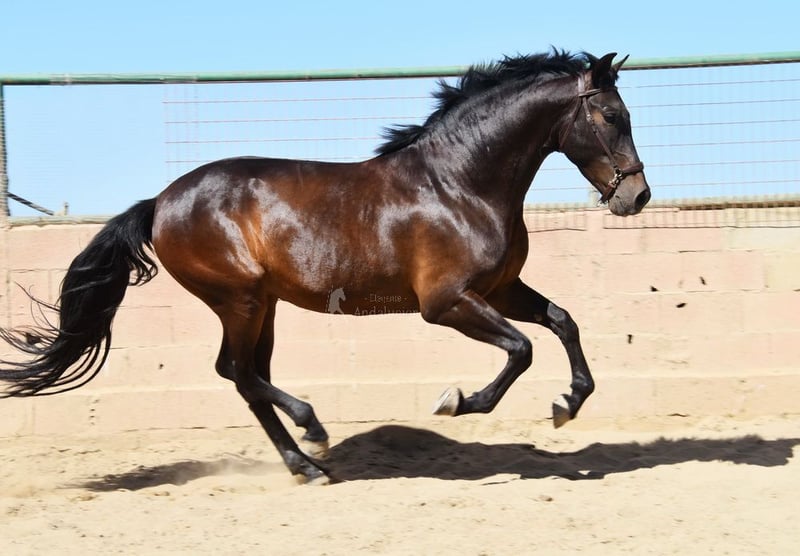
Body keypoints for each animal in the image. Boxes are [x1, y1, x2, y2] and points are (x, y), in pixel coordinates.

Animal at [0, 50, 650, 484]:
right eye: (611, 116)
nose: (636, 197)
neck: (461, 184)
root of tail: (159, 202)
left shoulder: (502, 288)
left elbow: (562, 322)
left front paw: (568, 405)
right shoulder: (447, 303)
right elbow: (522, 349)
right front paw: (456, 401)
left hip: (263, 304)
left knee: (246, 376)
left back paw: (305, 463)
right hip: (239, 298)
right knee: (237, 371)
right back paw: (312, 433)